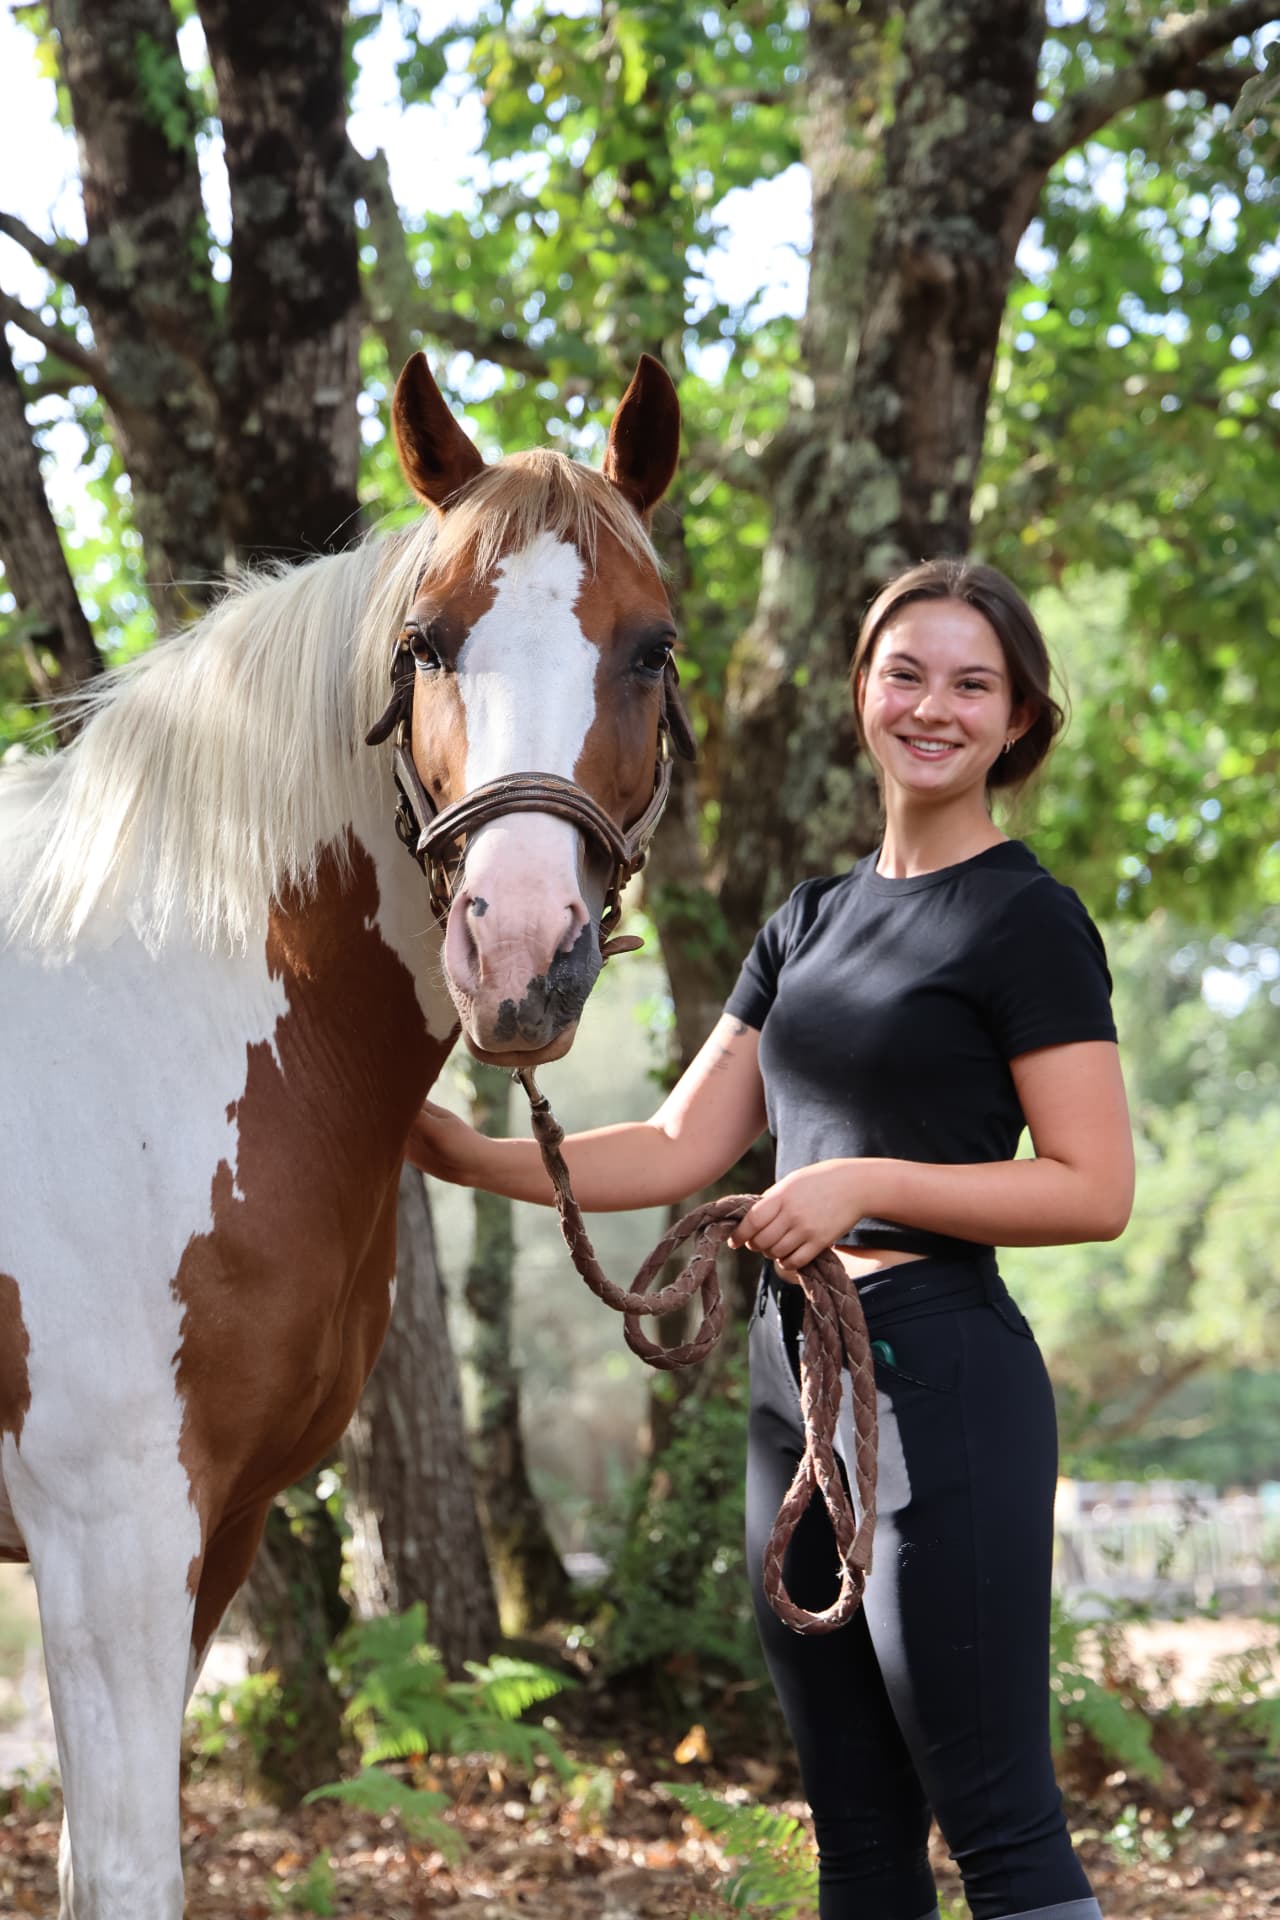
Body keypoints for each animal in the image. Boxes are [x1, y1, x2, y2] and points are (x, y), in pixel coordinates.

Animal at [0, 350, 690, 1919]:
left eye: (653, 650)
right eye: (426, 645)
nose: (522, 952)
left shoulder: (221, 1531)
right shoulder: (107, 1531)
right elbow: (125, 1870)